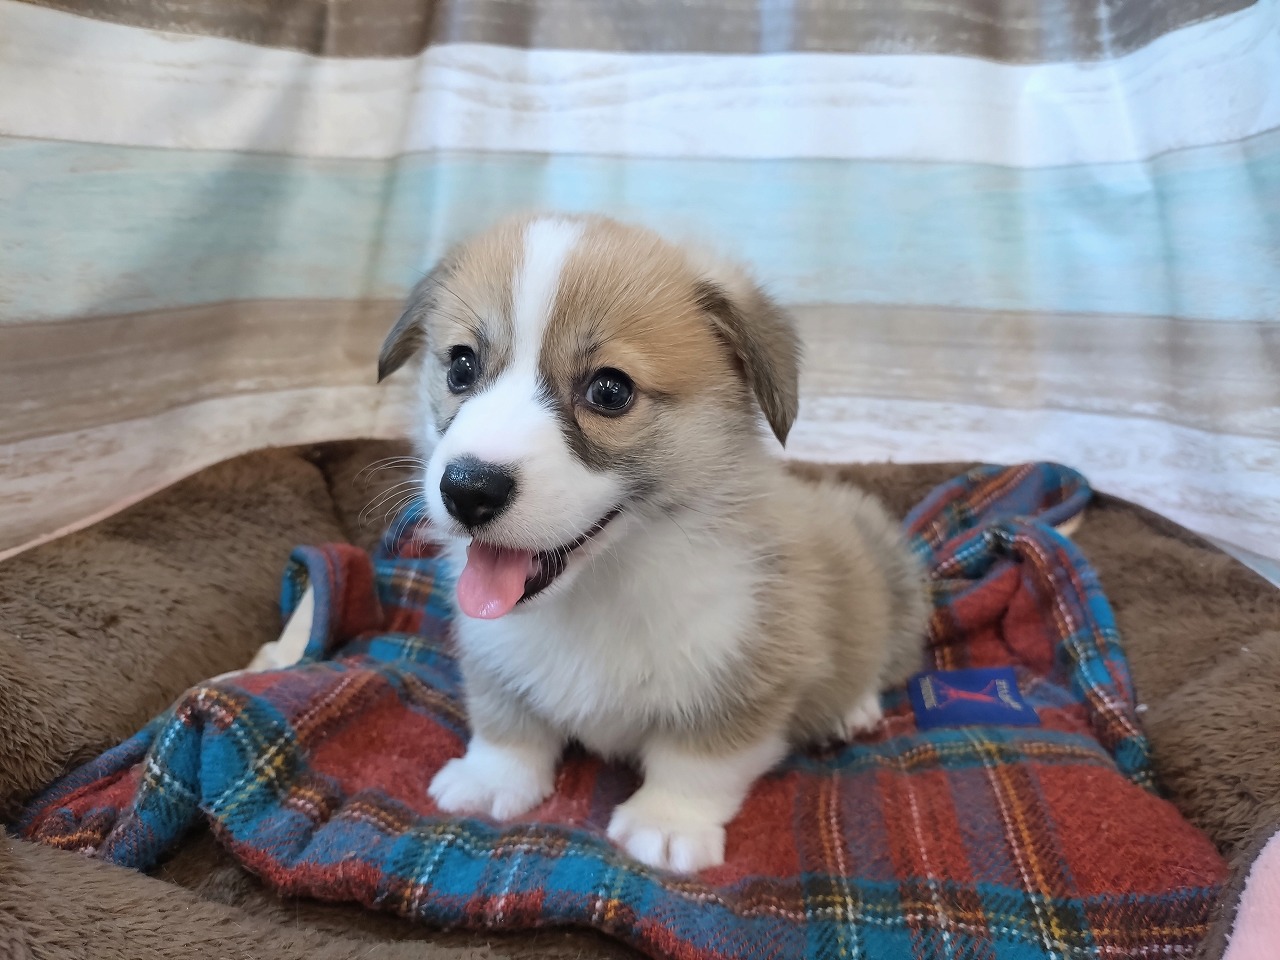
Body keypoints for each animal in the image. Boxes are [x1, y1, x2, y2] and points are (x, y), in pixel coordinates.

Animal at [377, 213, 928, 874]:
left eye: (610, 391)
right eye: (461, 366)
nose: (467, 490)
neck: (602, 588)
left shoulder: (747, 680)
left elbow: (698, 761)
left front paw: (667, 825)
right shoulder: (494, 656)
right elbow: (506, 722)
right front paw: (492, 779)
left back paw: (854, 707)